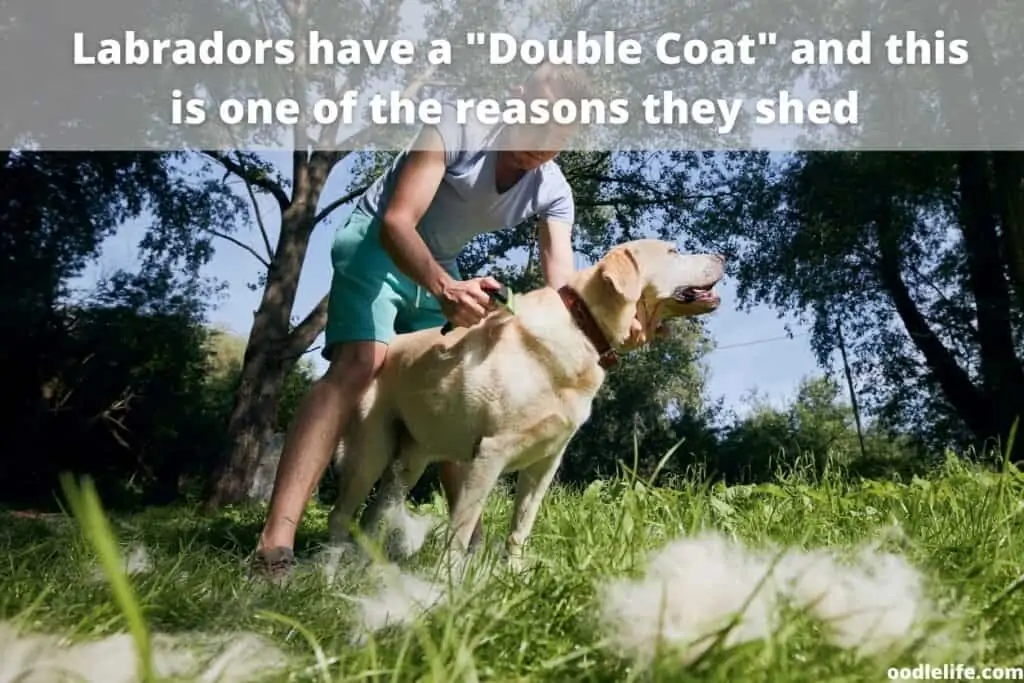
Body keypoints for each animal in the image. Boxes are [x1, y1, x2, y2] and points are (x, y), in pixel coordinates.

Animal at [323, 240, 724, 573]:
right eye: (673, 252)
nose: (722, 257)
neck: (584, 326)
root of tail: (387, 347)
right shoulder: (490, 453)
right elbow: (462, 528)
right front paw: (447, 581)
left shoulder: (545, 462)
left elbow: (521, 525)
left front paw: (514, 574)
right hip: (370, 452)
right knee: (341, 515)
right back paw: (326, 573)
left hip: (410, 462)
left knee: (374, 516)